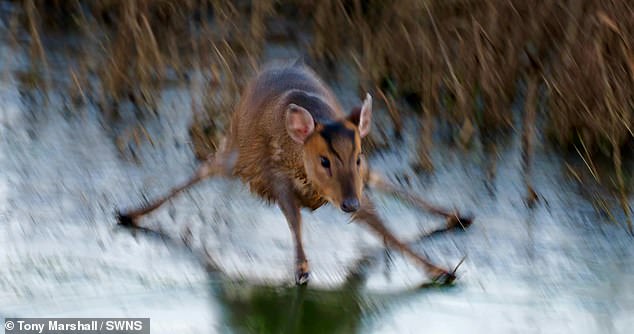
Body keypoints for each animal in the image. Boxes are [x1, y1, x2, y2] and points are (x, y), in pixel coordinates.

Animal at [118, 61, 472, 286]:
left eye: (357, 157)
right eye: (324, 161)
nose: (349, 204)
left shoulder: (358, 184)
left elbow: (387, 230)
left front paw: (442, 270)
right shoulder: (275, 176)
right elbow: (294, 217)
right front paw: (301, 270)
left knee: (387, 183)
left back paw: (457, 216)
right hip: (235, 150)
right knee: (203, 169)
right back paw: (130, 213)